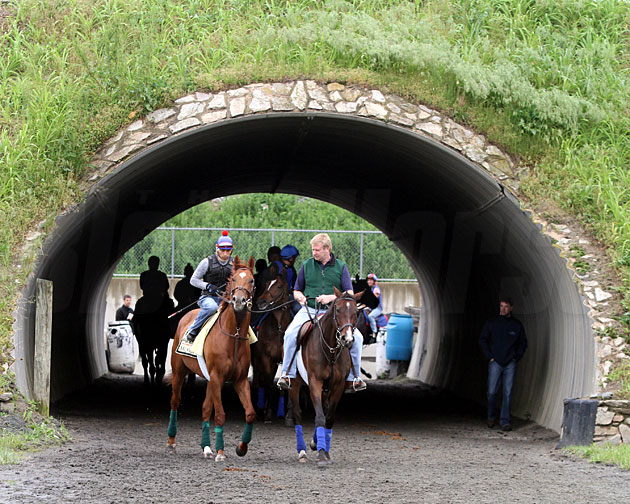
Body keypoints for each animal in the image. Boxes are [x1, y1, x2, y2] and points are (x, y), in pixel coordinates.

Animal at [168, 256, 260, 460]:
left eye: (251, 280)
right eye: (234, 279)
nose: (239, 300)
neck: (234, 335)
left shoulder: (240, 380)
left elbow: (250, 413)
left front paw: (241, 447)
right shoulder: (217, 377)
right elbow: (220, 415)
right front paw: (220, 451)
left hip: (209, 380)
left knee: (205, 408)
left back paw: (206, 447)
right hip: (179, 372)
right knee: (175, 402)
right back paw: (171, 442)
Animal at [252, 266, 294, 424]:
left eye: (279, 286)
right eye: (266, 284)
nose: (261, 300)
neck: (279, 329)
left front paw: (288, 415)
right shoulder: (266, 358)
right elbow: (269, 383)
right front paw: (268, 414)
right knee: (258, 380)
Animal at [288, 290, 362, 466]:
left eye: (356, 312)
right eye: (338, 310)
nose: (347, 339)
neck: (331, 351)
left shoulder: (338, 386)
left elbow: (328, 417)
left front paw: (323, 449)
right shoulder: (315, 382)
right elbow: (320, 417)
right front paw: (321, 454)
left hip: (326, 390)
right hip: (295, 384)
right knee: (297, 414)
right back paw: (302, 451)